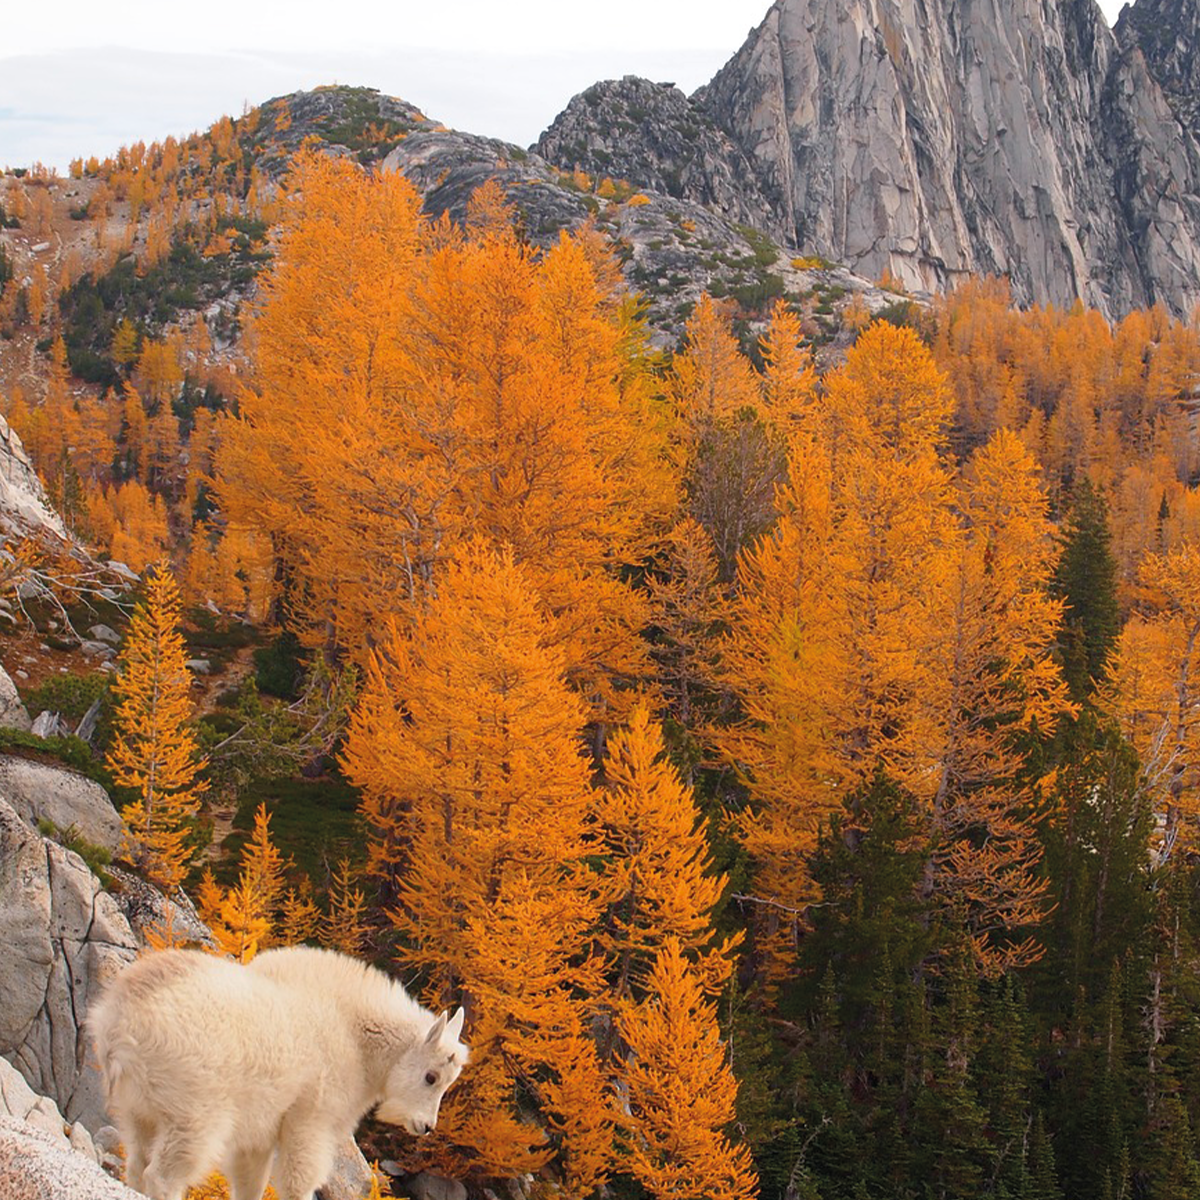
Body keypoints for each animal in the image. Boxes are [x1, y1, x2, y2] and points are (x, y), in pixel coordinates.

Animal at [87, 945, 463, 1200]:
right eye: (431, 1077)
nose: (426, 1126)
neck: (356, 1037)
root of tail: (119, 1022)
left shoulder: (259, 1133)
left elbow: (250, 1184)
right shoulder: (310, 1121)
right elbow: (297, 1182)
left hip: (138, 1111)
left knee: (137, 1164)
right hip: (194, 1116)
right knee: (163, 1177)